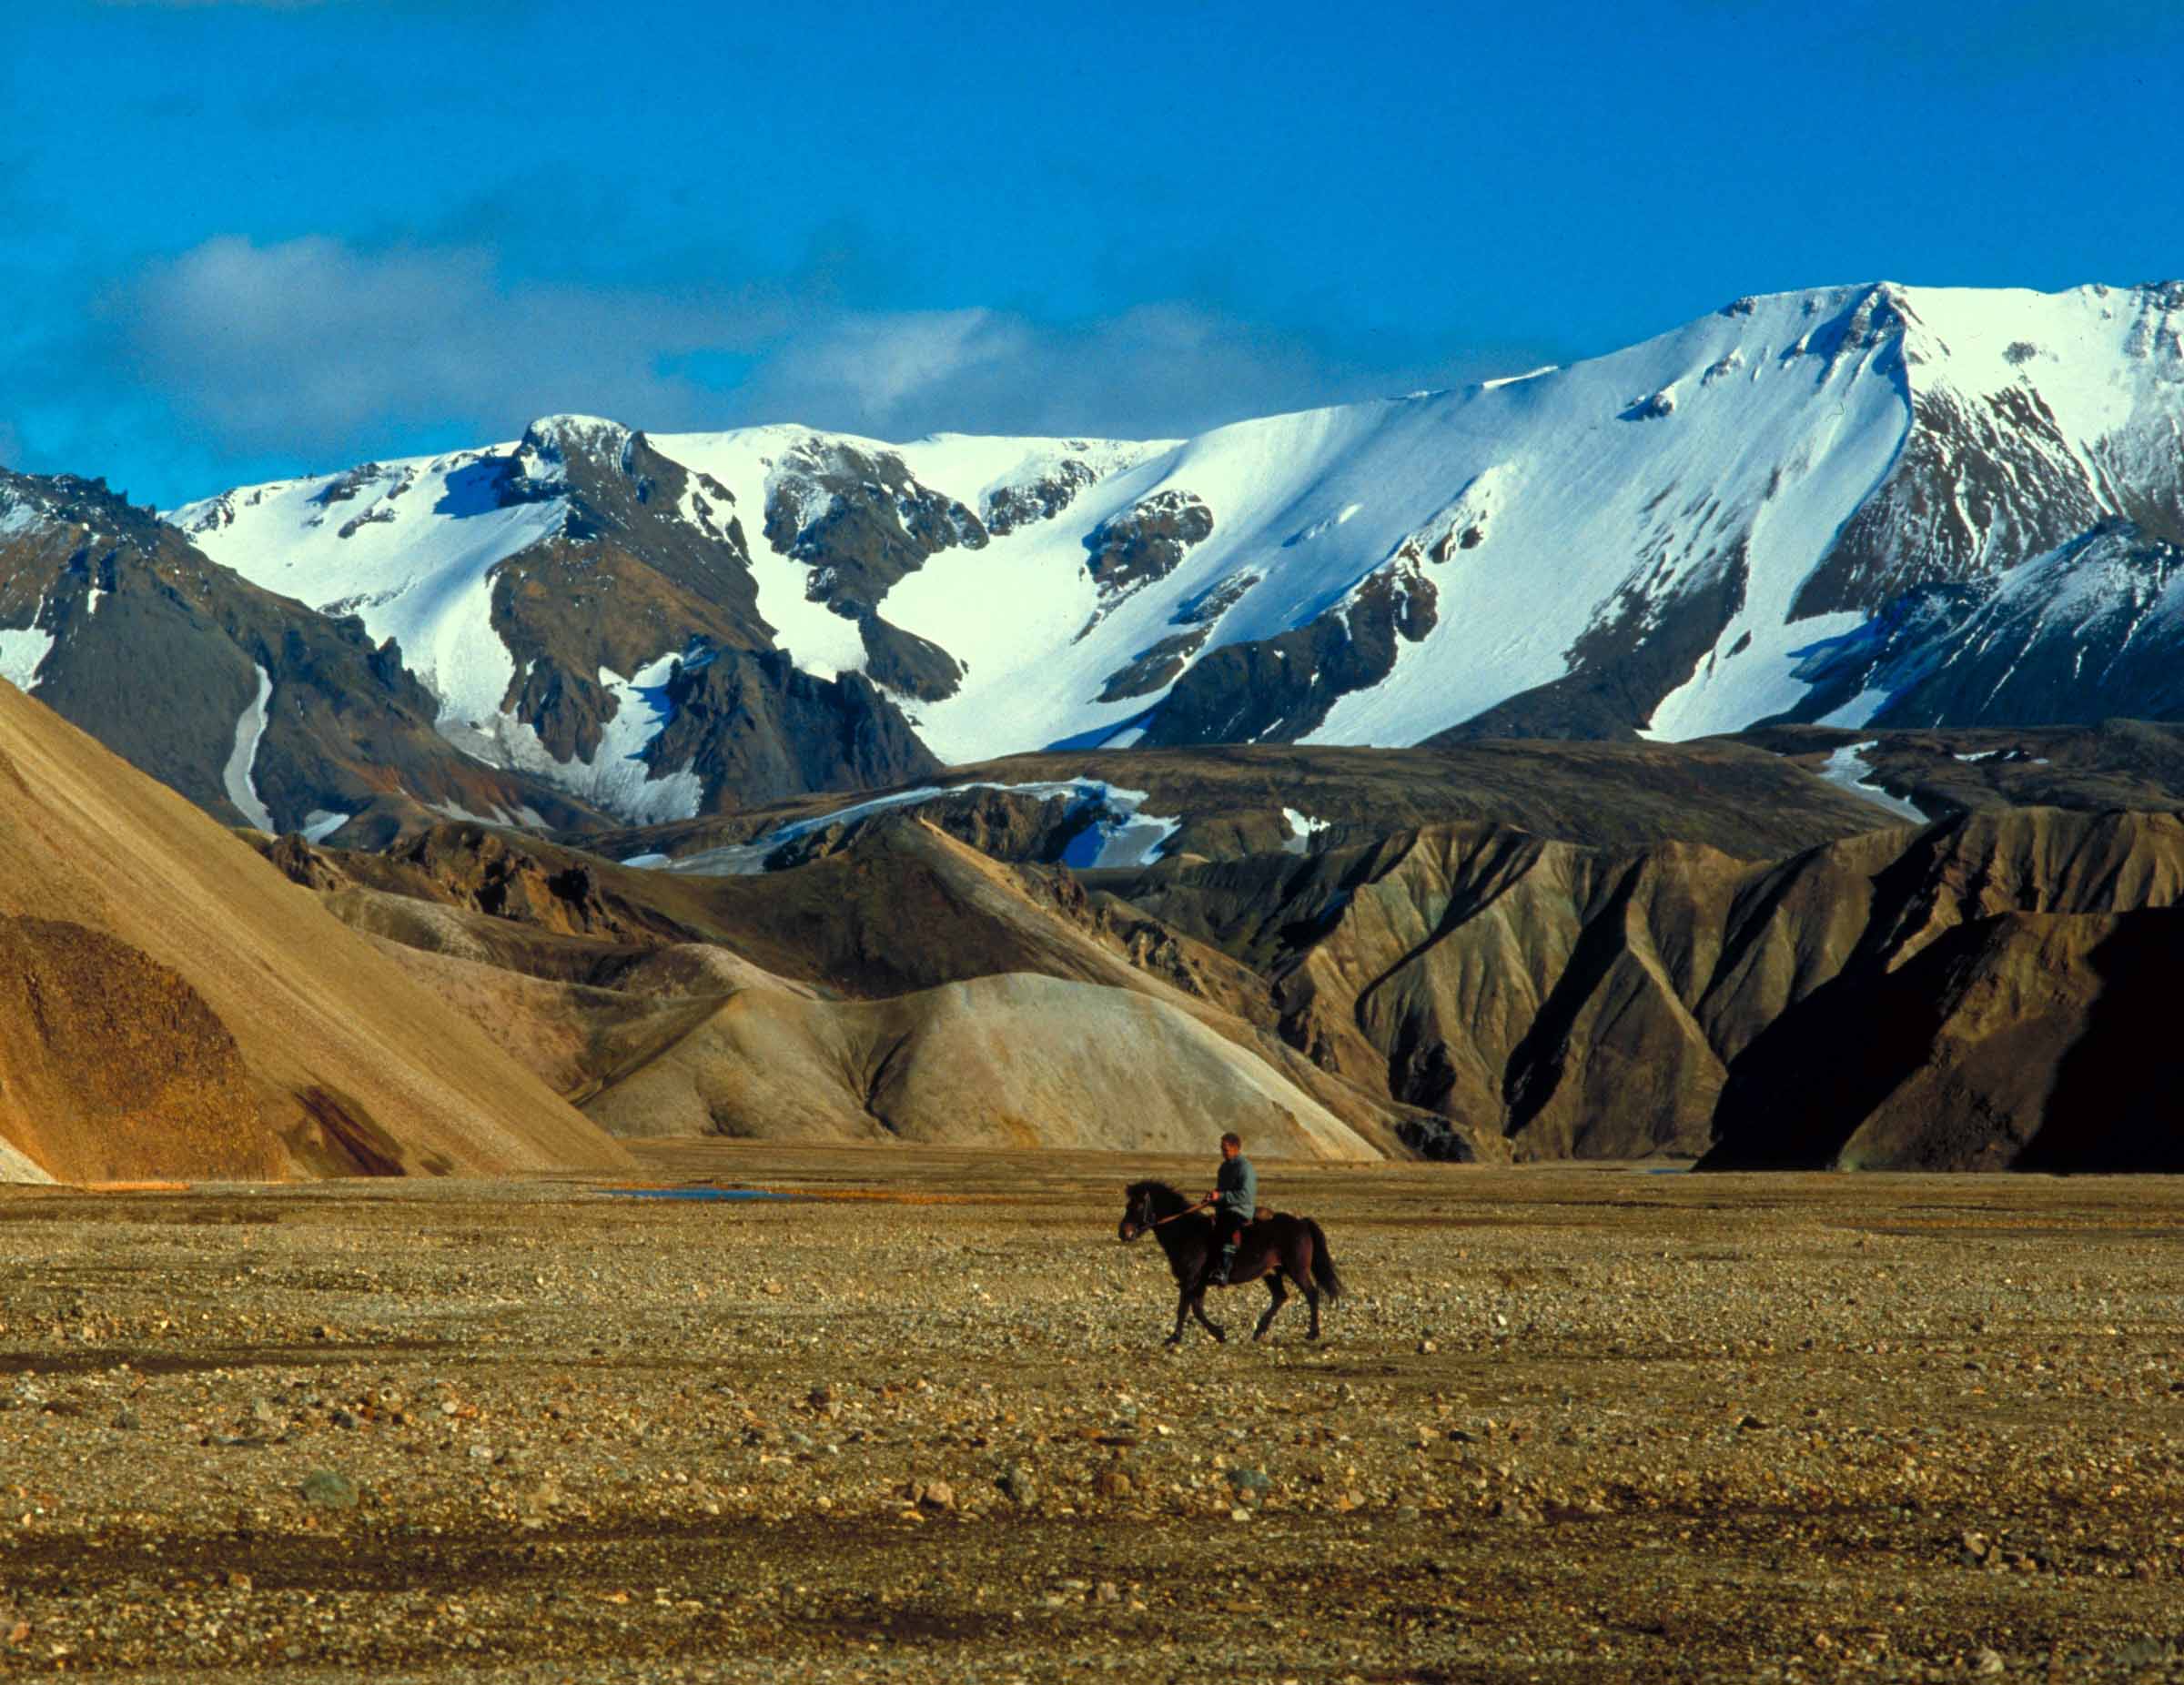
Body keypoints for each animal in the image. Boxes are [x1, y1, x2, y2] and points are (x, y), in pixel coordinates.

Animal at [1117, 1187, 1336, 1344]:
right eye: (1127, 1204)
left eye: (1139, 1206)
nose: (1123, 1233)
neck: (1186, 1232)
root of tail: (1301, 1223)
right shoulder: (1197, 1283)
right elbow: (1196, 1309)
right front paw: (1219, 1334)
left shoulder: (1190, 1279)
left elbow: (1185, 1308)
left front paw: (1175, 1338)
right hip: (1272, 1272)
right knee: (1280, 1297)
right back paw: (1258, 1332)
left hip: (1297, 1270)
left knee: (1311, 1294)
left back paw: (1312, 1333)